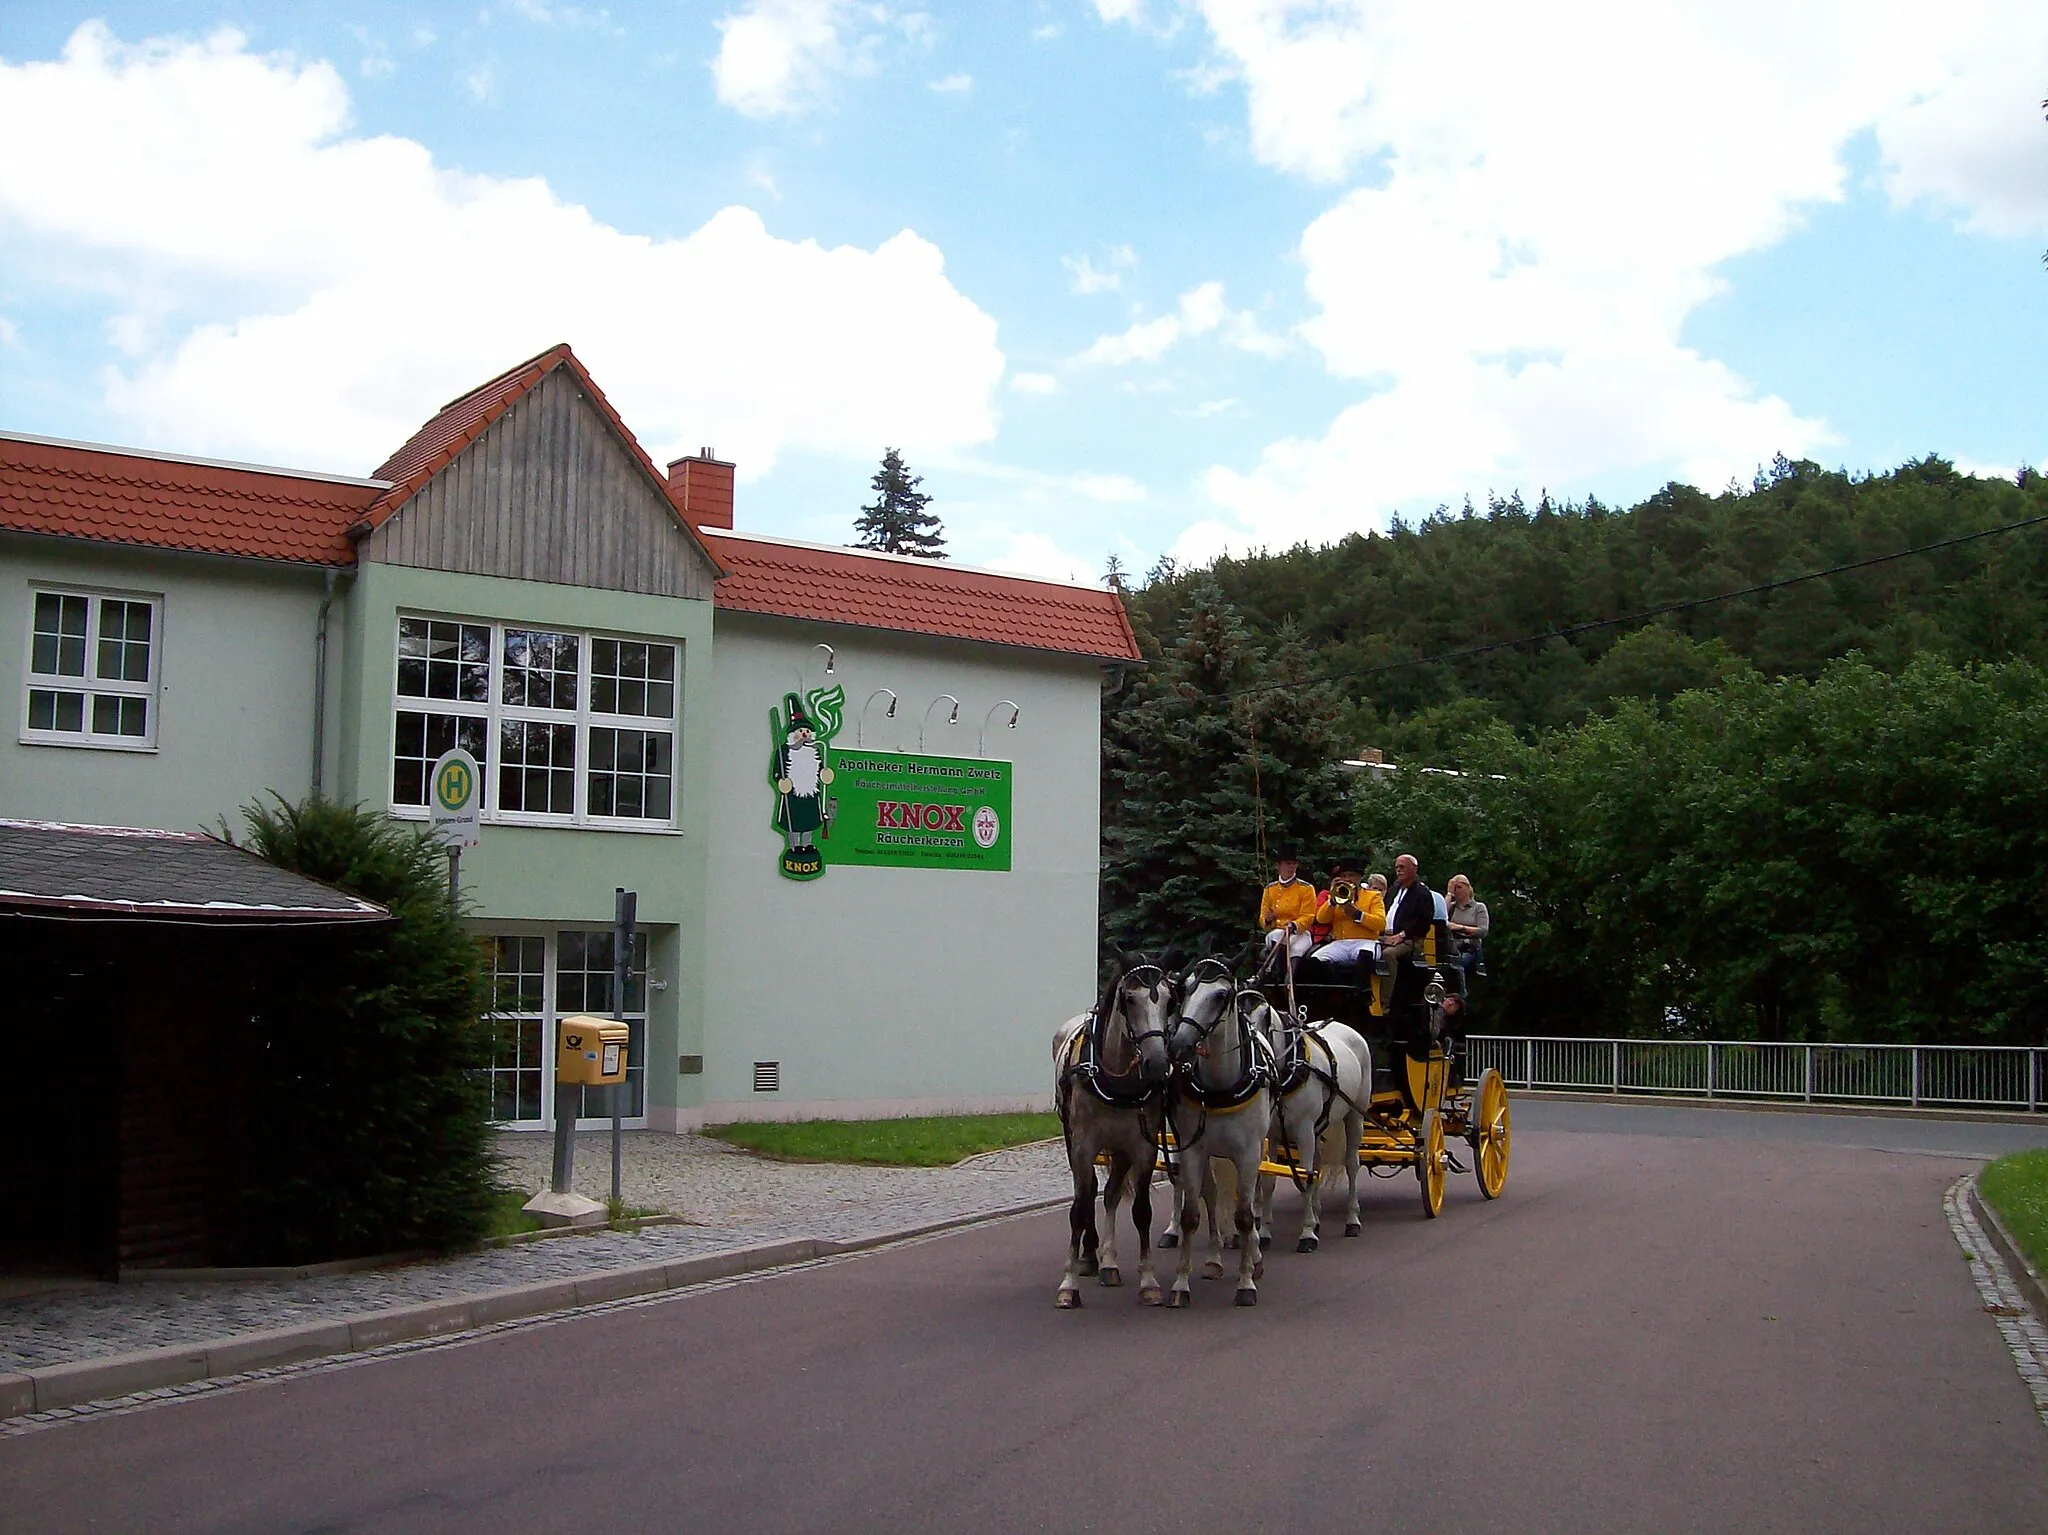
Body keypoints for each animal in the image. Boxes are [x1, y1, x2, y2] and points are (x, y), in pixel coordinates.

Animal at [1048, 961, 1179, 1309]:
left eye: (1168, 1001)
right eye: (1129, 1000)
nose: (1157, 1063)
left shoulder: (1143, 1148)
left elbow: (1141, 1212)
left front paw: (1149, 1282)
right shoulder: (1082, 1147)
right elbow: (1078, 1209)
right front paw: (1069, 1284)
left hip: (1120, 1149)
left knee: (1110, 1194)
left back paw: (1108, 1263)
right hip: (1074, 1140)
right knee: (1087, 1192)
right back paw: (1091, 1256)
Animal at [1171, 961, 1261, 1309]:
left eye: (1221, 995)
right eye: (1185, 988)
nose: (1179, 1044)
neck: (1221, 1087)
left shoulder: (1249, 1155)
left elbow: (1245, 1216)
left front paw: (1246, 1283)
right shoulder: (1192, 1150)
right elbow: (1191, 1215)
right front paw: (1181, 1285)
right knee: (1210, 1196)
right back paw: (1213, 1259)